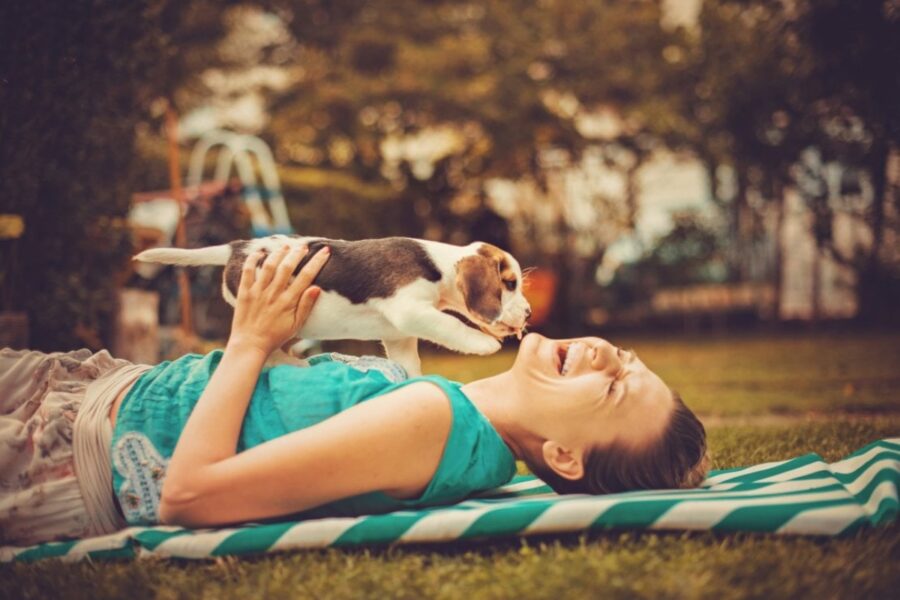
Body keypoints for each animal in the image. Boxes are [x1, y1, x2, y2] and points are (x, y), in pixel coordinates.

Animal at [130, 234, 532, 376]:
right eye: (510, 283)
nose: (528, 313)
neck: (439, 264)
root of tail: (238, 247)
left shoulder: (399, 336)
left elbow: (410, 364)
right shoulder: (409, 311)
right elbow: (451, 325)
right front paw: (484, 343)